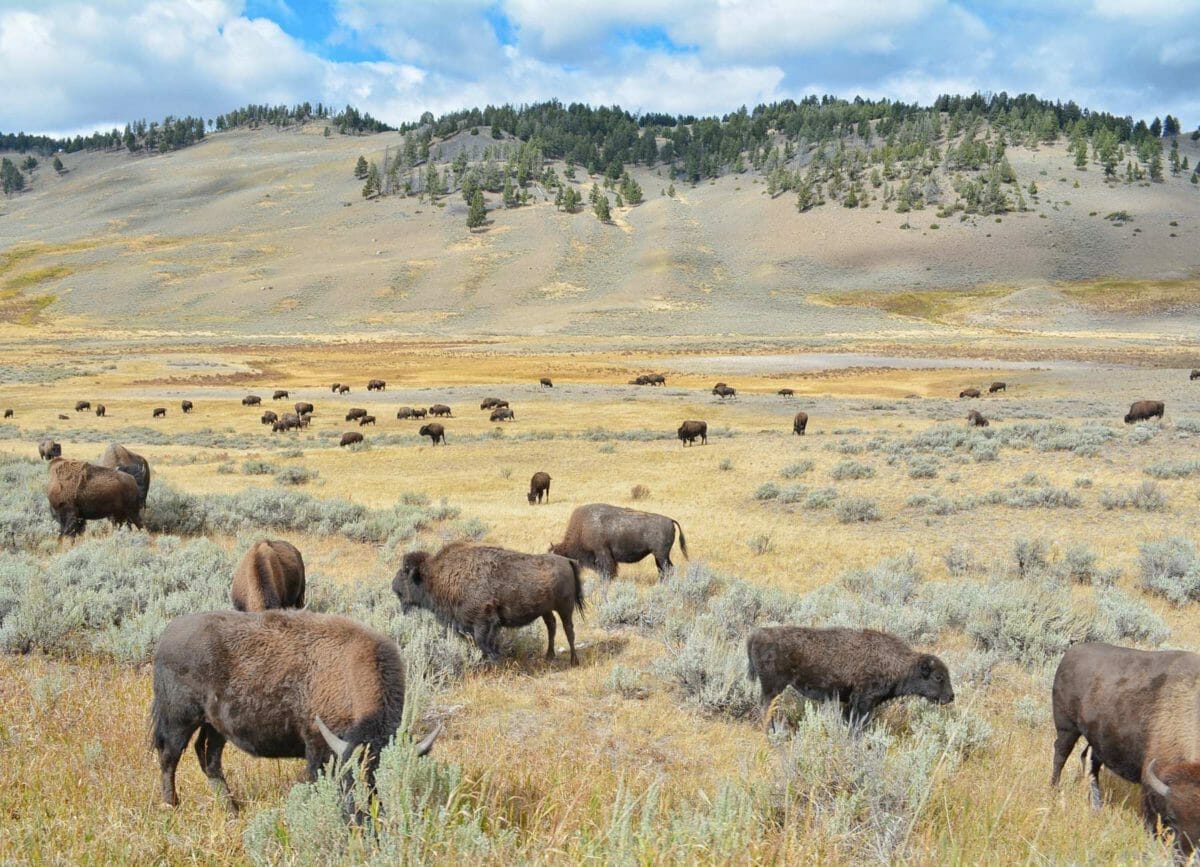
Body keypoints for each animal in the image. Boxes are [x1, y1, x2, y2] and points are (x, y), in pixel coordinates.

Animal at [151, 610, 440, 812]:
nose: (363, 813)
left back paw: (232, 809)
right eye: (347, 777)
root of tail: (167, 633)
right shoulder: (317, 745)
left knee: (208, 757)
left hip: (214, 725)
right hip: (180, 718)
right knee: (169, 756)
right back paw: (171, 805)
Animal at [393, 543, 584, 664]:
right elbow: (481, 644)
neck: (436, 575)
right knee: (552, 627)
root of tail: (567, 560)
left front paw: (493, 661)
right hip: (546, 610)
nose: (393, 585)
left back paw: (574, 661)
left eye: (405, 571)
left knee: (569, 630)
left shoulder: (483, 621)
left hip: (565, 608)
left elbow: (483, 643)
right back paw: (549, 656)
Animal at [550, 503, 687, 580]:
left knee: (667, 569)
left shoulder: (602, 553)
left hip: (661, 555)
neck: (583, 528)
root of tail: (669, 520)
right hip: (659, 556)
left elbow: (608, 571)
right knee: (663, 570)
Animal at [747, 626, 954, 727]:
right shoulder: (863, 702)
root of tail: (757, 634)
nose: (951, 697)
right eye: (938, 677)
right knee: (766, 708)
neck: (899, 663)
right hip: (773, 687)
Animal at [1051, 643, 1200, 853]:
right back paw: (1054, 791)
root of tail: (1071, 653)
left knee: (1090, 764)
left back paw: (1097, 805)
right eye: (1173, 819)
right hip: (1067, 728)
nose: (1186, 853)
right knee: (1060, 755)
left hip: (1096, 739)